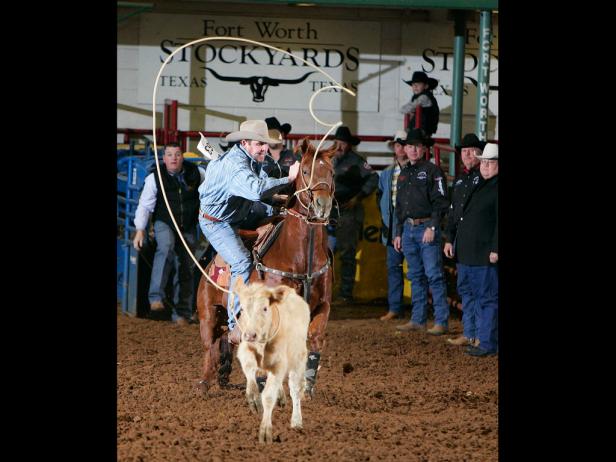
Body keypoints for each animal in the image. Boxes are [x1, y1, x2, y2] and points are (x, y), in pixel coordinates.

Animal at [197, 138, 334, 398]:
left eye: (331, 172)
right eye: (305, 171)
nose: (322, 205)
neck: (301, 257)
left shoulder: (322, 305)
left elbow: (315, 337)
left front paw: (307, 386)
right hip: (208, 311)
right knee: (210, 344)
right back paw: (205, 383)